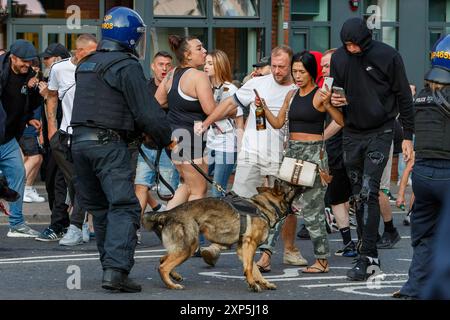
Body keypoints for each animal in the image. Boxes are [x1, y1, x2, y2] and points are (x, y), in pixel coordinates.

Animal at [142, 180, 300, 292]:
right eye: (292, 188)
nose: (303, 187)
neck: (264, 207)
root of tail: (169, 213)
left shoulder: (243, 249)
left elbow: (255, 269)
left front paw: (264, 282)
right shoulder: (250, 244)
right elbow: (249, 267)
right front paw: (252, 284)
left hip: (182, 248)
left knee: (162, 259)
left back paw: (174, 276)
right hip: (188, 248)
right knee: (163, 267)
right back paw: (171, 285)